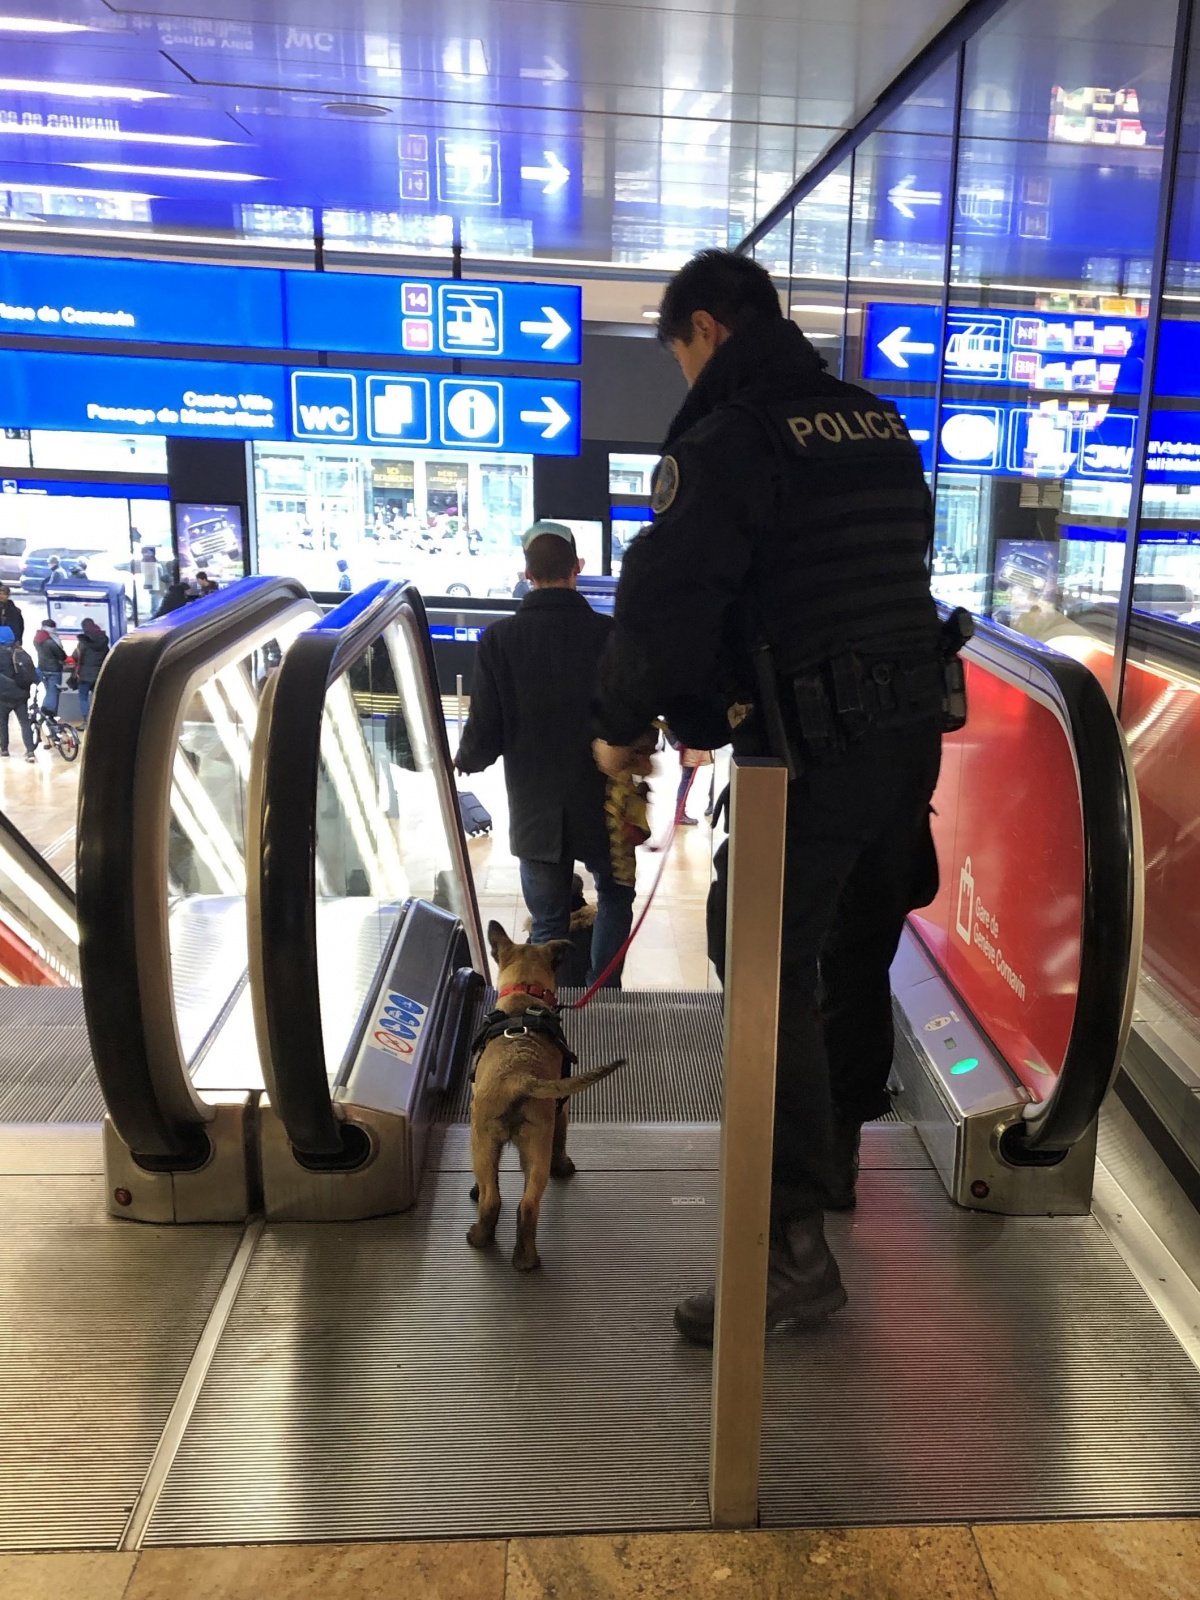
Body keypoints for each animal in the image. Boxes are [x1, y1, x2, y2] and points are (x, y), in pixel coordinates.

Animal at [467, 921, 624, 1267]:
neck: (525, 994)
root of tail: (518, 1077)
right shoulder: (561, 1112)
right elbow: (561, 1142)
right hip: (533, 1147)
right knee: (523, 1205)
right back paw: (520, 1257)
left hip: (496, 1142)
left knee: (496, 1199)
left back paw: (488, 1242)